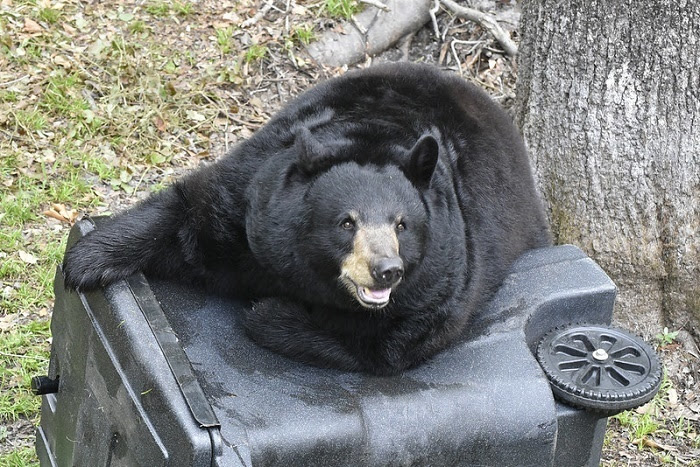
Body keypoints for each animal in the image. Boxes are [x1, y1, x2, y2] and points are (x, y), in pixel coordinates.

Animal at [62, 62, 551, 375]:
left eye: (402, 224)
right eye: (347, 222)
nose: (386, 270)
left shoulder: (447, 269)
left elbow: (387, 346)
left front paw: (269, 312)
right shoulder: (250, 205)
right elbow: (191, 215)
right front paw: (86, 260)